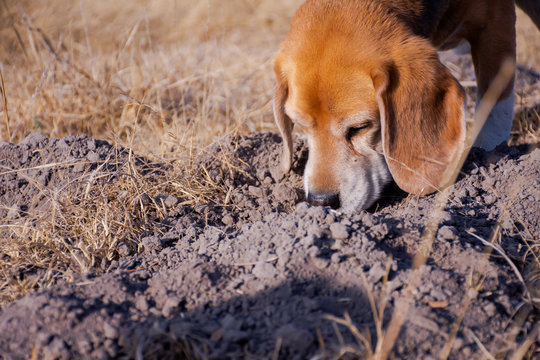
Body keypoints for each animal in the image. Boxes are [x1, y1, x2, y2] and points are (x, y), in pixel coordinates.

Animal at [274, 0, 540, 211]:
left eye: (360, 127)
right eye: (300, 125)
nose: (321, 201)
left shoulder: (495, 22)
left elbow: (496, 108)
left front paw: (489, 152)